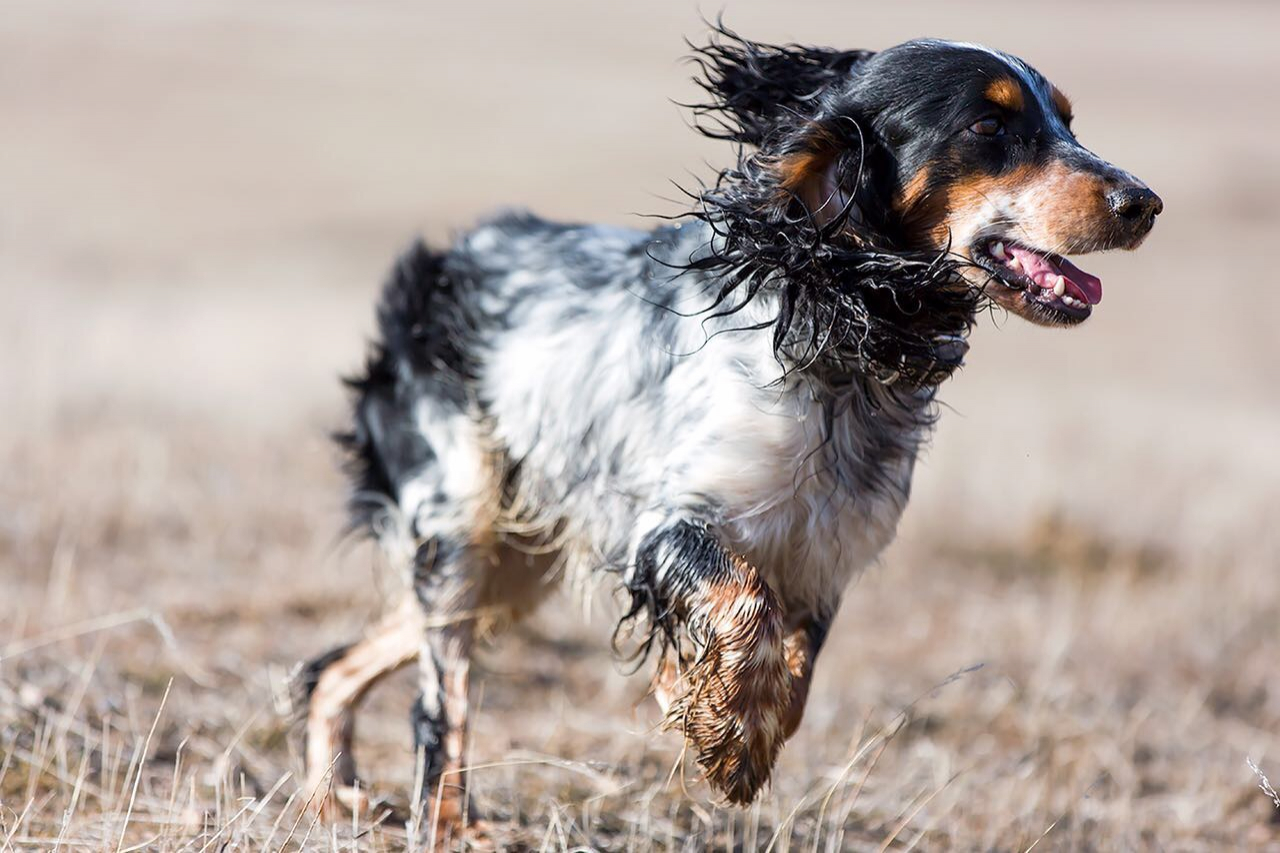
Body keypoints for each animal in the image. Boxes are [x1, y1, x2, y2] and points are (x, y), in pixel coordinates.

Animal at [294, 24, 1167, 835]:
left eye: (1067, 120)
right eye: (990, 125)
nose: (1143, 203)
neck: (838, 338)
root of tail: (445, 263)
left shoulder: (822, 554)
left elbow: (796, 667)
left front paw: (725, 720)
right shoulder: (667, 522)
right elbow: (744, 605)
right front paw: (725, 729)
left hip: (514, 566)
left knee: (333, 664)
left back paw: (329, 794)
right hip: (461, 531)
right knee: (441, 703)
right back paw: (445, 822)